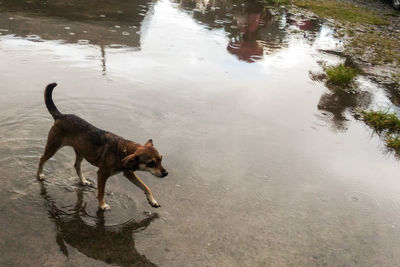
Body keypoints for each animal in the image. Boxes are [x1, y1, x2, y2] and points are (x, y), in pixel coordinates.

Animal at [36, 84, 168, 211]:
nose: (166, 173)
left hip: (81, 151)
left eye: (161, 159)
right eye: (151, 163)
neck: (123, 151)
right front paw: (102, 205)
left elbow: (146, 187)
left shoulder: (129, 173)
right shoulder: (102, 174)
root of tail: (60, 116)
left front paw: (152, 201)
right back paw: (39, 175)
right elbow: (101, 192)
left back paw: (83, 181)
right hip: (53, 146)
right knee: (42, 159)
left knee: (76, 166)